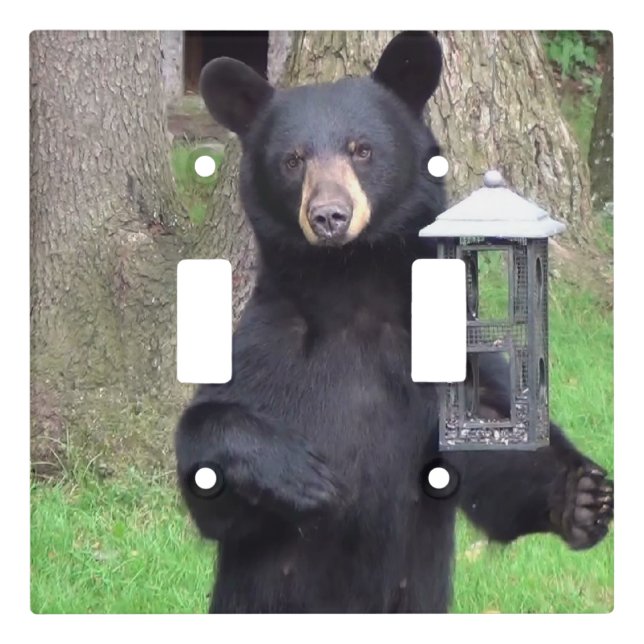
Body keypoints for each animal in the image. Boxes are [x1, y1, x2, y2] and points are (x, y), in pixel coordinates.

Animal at [175, 31, 614, 613]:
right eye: (293, 160)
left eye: (362, 149)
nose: (329, 216)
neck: (352, 286)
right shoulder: (266, 346)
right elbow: (209, 464)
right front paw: (305, 477)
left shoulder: (444, 348)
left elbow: (493, 446)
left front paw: (582, 495)